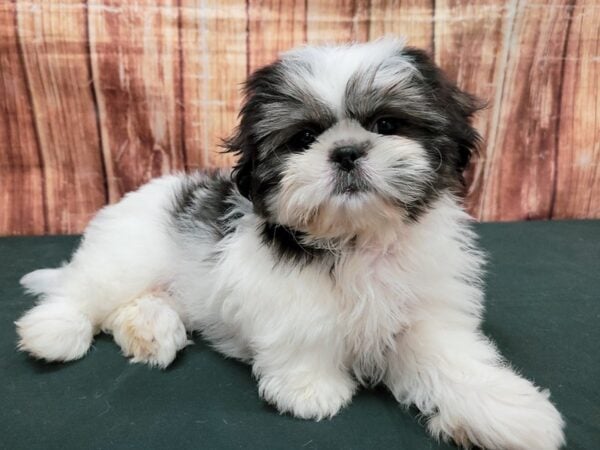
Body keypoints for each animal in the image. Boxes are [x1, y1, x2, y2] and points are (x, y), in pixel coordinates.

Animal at [15, 39, 568, 450]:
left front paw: (506, 411)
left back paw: (150, 331)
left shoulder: (423, 309)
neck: (356, 238)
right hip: (129, 254)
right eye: (303, 138)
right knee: (84, 292)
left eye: (387, 124)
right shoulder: (282, 294)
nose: (346, 152)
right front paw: (311, 389)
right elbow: (307, 328)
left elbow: (452, 357)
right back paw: (54, 332)